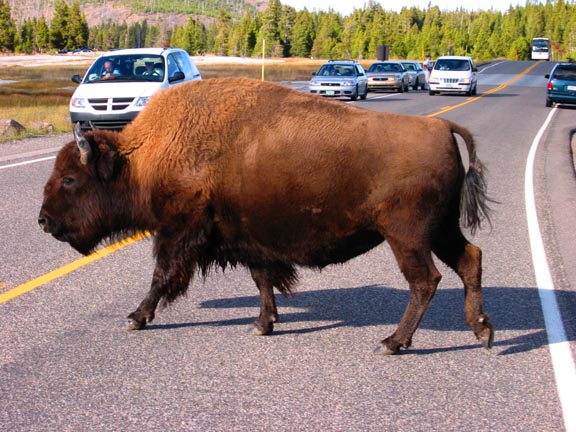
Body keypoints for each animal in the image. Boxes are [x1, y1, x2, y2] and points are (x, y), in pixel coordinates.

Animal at [38, 77, 492, 354]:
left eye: (70, 179)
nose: (43, 220)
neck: (144, 155)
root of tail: (441, 128)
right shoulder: (246, 239)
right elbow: (262, 281)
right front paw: (263, 324)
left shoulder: (179, 232)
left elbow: (162, 276)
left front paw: (135, 318)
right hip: (441, 230)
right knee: (470, 260)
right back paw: (483, 331)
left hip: (408, 236)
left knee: (425, 280)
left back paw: (393, 342)